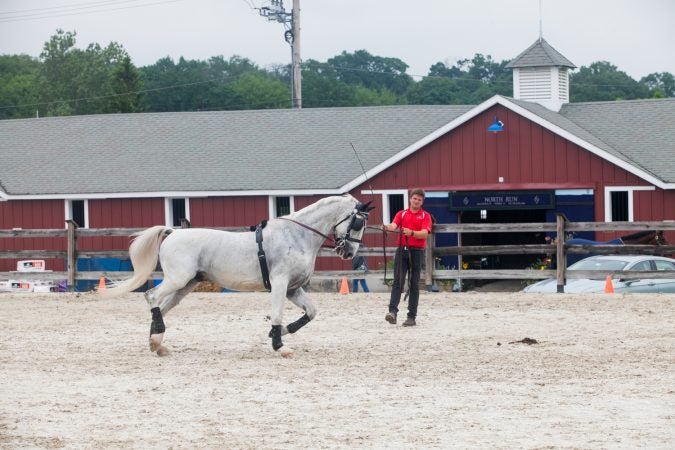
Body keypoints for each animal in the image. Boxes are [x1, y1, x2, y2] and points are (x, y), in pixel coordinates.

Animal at [101, 195, 374, 356]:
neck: (297, 235)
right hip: (178, 279)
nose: (349, 252)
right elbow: (277, 314)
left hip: (186, 285)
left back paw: (157, 343)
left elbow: (311, 312)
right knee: (152, 296)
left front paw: (281, 333)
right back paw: (156, 339)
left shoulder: (294, 288)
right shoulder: (280, 283)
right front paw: (279, 346)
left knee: (163, 306)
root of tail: (173, 232)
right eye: (358, 223)